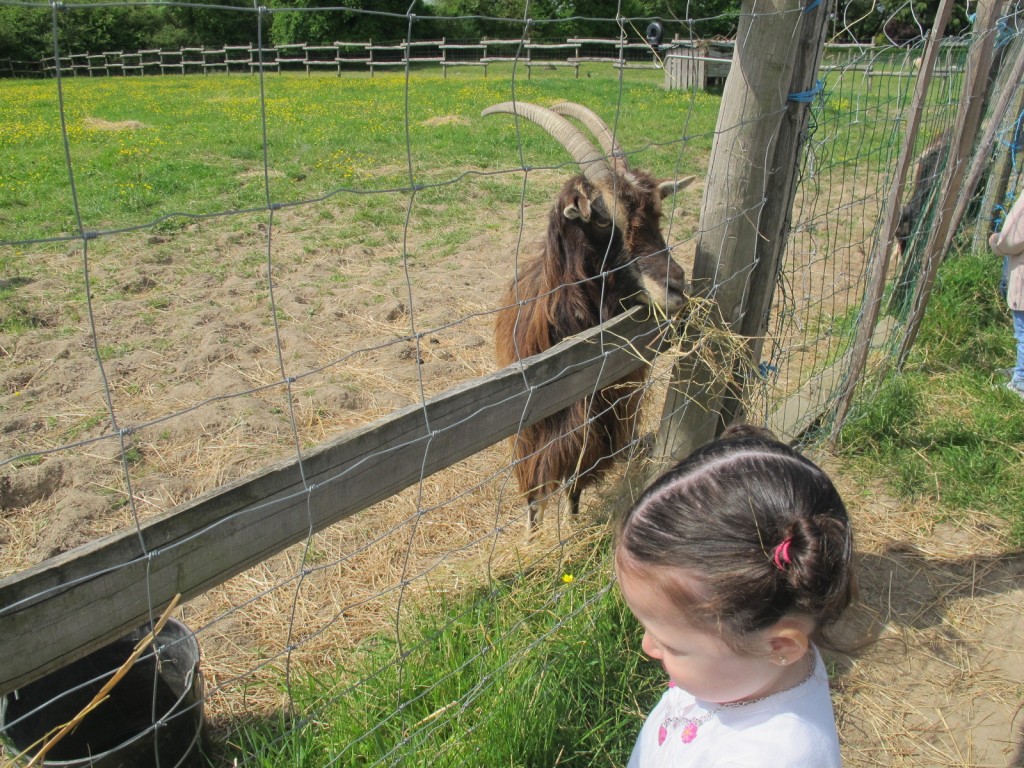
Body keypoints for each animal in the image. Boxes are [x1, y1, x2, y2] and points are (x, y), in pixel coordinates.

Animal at [481, 100, 692, 536]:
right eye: (601, 218)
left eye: (657, 212)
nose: (676, 285)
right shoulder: (534, 422)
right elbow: (534, 485)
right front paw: (532, 535)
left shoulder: (600, 414)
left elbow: (578, 477)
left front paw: (574, 518)